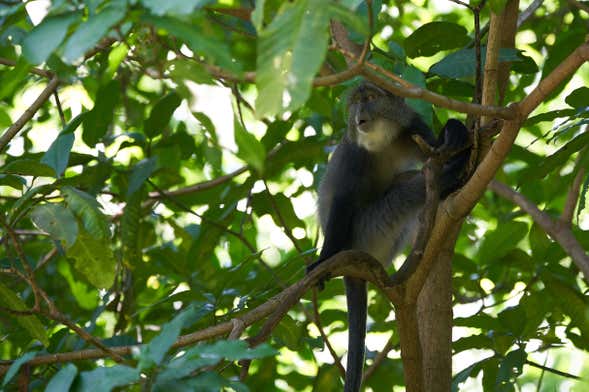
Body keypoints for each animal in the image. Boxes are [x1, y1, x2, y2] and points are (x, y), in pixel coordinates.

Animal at [306, 81, 470, 390]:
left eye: (370, 98)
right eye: (355, 103)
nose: (360, 116)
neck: (381, 141)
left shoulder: (411, 128)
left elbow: (434, 150)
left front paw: (455, 129)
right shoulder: (355, 154)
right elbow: (343, 200)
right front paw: (323, 259)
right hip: (368, 231)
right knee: (406, 189)